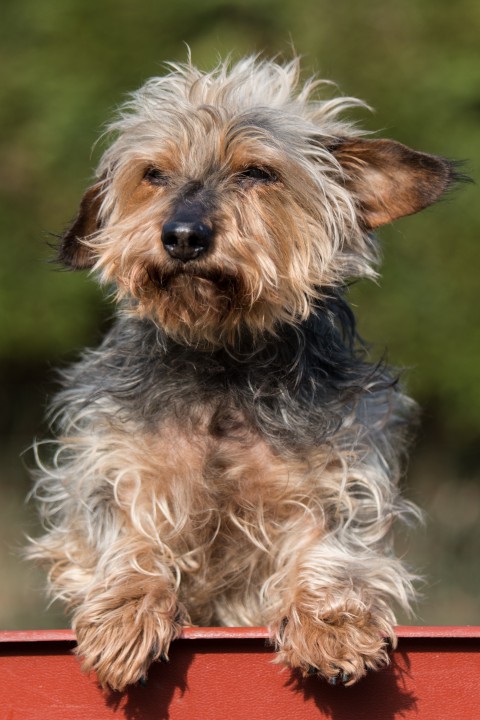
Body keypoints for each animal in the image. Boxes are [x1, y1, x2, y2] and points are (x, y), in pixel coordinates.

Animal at [29, 57, 458, 692]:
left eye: (257, 172)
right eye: (153, 173)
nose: (182, 235)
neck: (223, 361)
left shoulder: (337, 469)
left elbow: (329, 543)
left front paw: (331, 626)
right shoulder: (118, 460)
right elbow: (125, 529)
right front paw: (124, 616)